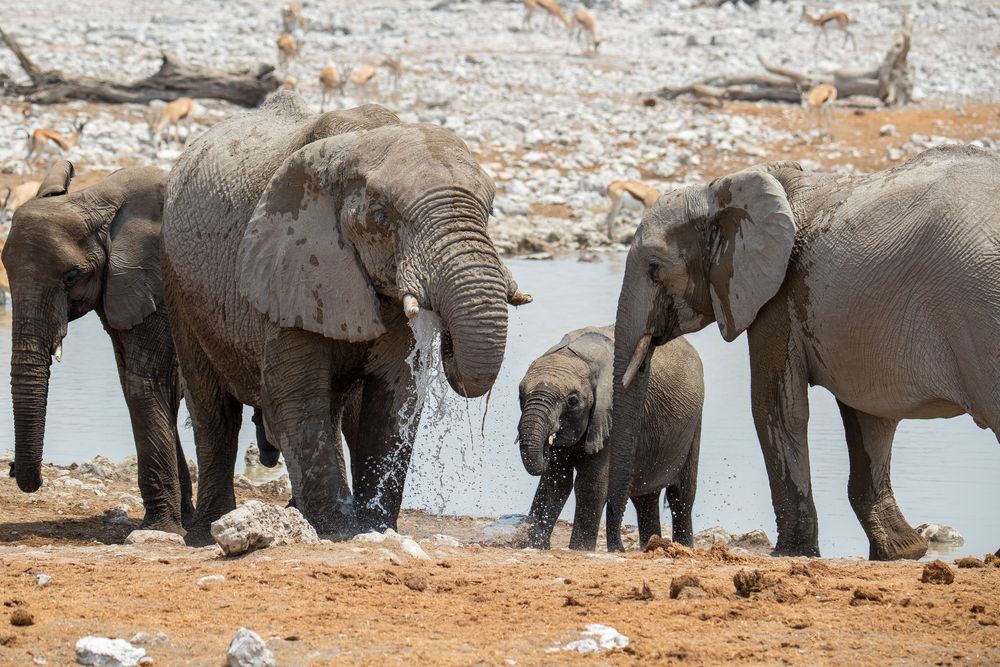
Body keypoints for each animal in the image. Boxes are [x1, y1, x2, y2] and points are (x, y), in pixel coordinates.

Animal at [1, 160, 194, 532]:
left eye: (72, 277)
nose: (13, 468)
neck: (96, 200)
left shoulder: (159, 280)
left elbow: (145, 383)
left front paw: (161, 529)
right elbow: (140, 383)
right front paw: (184, 525)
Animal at [162, 92, 532, 544]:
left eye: (490, 212)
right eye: (382, 217)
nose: (444, 336)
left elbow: (393, 402)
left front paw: (374, 526)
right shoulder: (289, 271)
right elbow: (296, 400)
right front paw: (337, 530)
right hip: (180, 286)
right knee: (214, 413)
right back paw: (207, 530)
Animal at [516, 326, 704, 552]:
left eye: (572, 401)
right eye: (520, 395)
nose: (546, 445)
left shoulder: (615, 417)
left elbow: (590, 483)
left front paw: (580, 549)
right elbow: (556, 481)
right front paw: (535, 545)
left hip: (694, 425)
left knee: (682, 494)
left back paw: (683, 547)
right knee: (644, 497)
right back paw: (650, 546)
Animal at [600, 144, 1000, 560]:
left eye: (654, 267)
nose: (617, 548)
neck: (719, 190)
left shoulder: (780, 296)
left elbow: (777, 407)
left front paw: (791, 553)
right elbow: (868, 417)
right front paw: (902, 551)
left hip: (980, 308)